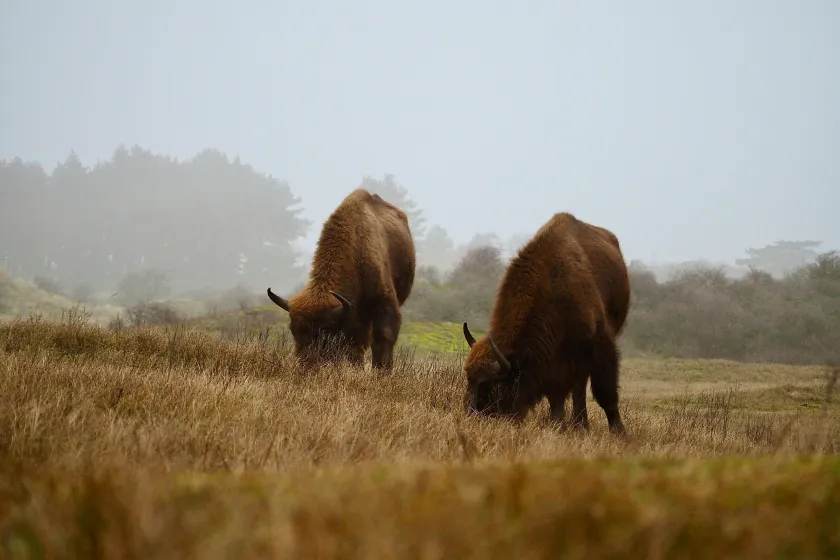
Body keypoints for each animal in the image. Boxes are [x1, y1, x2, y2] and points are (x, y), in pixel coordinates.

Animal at [267, 188, 416, 371]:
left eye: (326, 333)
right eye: (293, 330)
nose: (306, 367)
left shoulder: (384, 304)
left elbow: (383, 338)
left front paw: (382, 372)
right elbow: (355, 344)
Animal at [461, 212, 630, 435]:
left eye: (495, 385)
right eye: (469, 379)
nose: (472, 415)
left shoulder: (598, 343)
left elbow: (604, 391)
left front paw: (619, 432)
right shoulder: (554, 359)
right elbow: (557, 395)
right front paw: (557, 424)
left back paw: (583, 425)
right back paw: (578, 424)